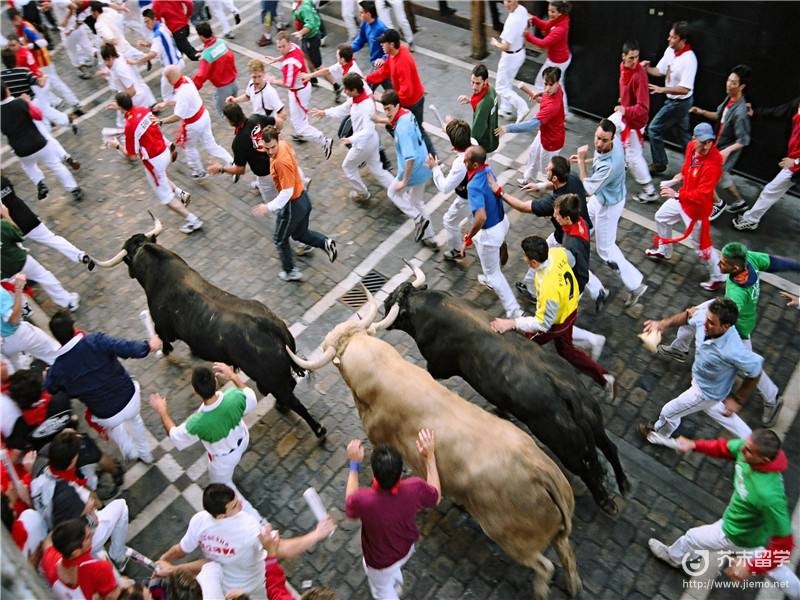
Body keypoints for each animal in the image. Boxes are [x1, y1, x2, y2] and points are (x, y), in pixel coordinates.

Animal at [119, 236, 324, 440]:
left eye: (127, 257)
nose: (128, 272)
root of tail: (271, 325)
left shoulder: (163, 327)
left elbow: (163, 338)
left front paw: (165, 350)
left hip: (271, 379)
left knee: (294, 401)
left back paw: (318, 430)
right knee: (290, 387)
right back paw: (281, 405)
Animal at [290, 290, 580, 600]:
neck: (383, 371)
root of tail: (542, 472)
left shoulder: (379, 437)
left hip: (511, 539)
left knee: (545, 566)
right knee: (566, 553)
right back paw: (573, 587)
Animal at [386, 284, 632, 512]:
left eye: (393, 301)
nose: (385, 302)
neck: (428, 307)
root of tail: (566, 390)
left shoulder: (436, 366)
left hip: (564, 445)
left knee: (587, 469)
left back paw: (606, 502)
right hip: (593, 419)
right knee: (609, 447)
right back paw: (623, 483)